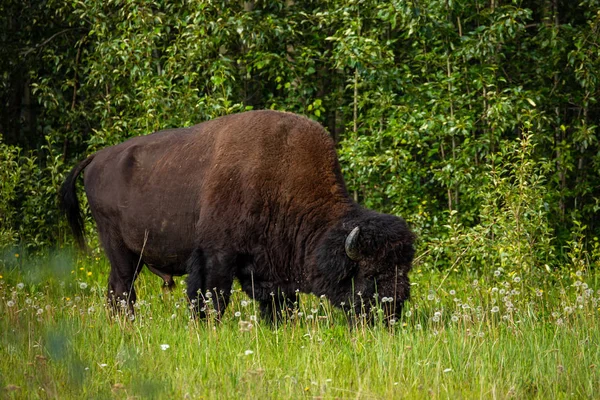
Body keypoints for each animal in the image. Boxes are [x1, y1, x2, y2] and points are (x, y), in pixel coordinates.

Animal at [62, 111, 418, 324]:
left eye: (404, 269)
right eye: (370, 273)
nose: (393, 311)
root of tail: (96, 158)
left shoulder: (269, 269)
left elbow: (279, 304)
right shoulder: (216, 256)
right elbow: (212, 298)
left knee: (115, 290)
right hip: (120, 250)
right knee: (123, 289)